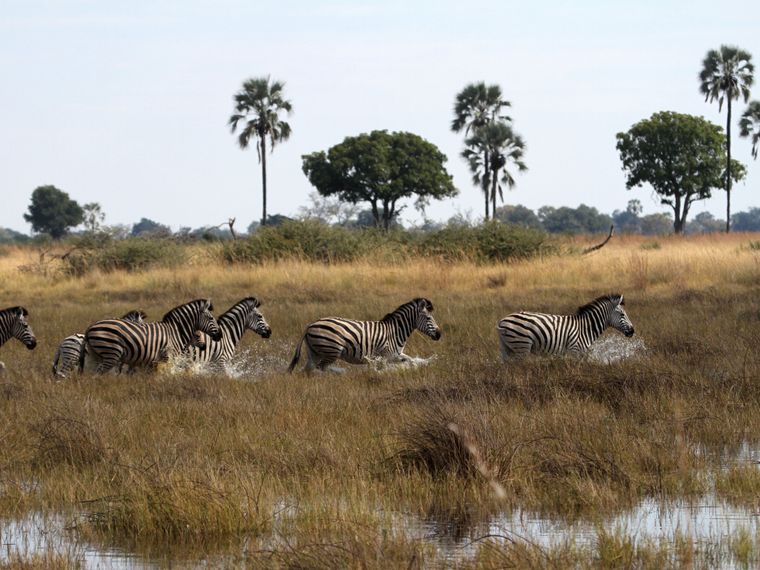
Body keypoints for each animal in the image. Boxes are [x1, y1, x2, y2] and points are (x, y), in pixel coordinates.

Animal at [83, 299, 222, 374]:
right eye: (211, 318)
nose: (220, 335)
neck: (176, 331)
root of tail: (90, 327)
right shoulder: (169, 357)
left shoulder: (154, 361)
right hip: (111, 353)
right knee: (98, 373)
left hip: (95, 356)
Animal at [288, 298, 441, 373]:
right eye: (428, 318)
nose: (439, 335)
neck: (395, 332)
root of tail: (310, 325)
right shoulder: (385, 356)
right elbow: (381, 370)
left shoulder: (395, 355)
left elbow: (411, 360)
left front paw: (424, 364)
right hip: (331, 350)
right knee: (320, 368)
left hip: (314, 352)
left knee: (308, 370)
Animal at [497, 294, 635, 361]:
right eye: (622, 314)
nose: (633, 331)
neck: (586, 328)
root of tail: (502, 321)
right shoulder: (574, 351)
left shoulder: (580, 354)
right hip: (522, 346)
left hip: (507, 348)